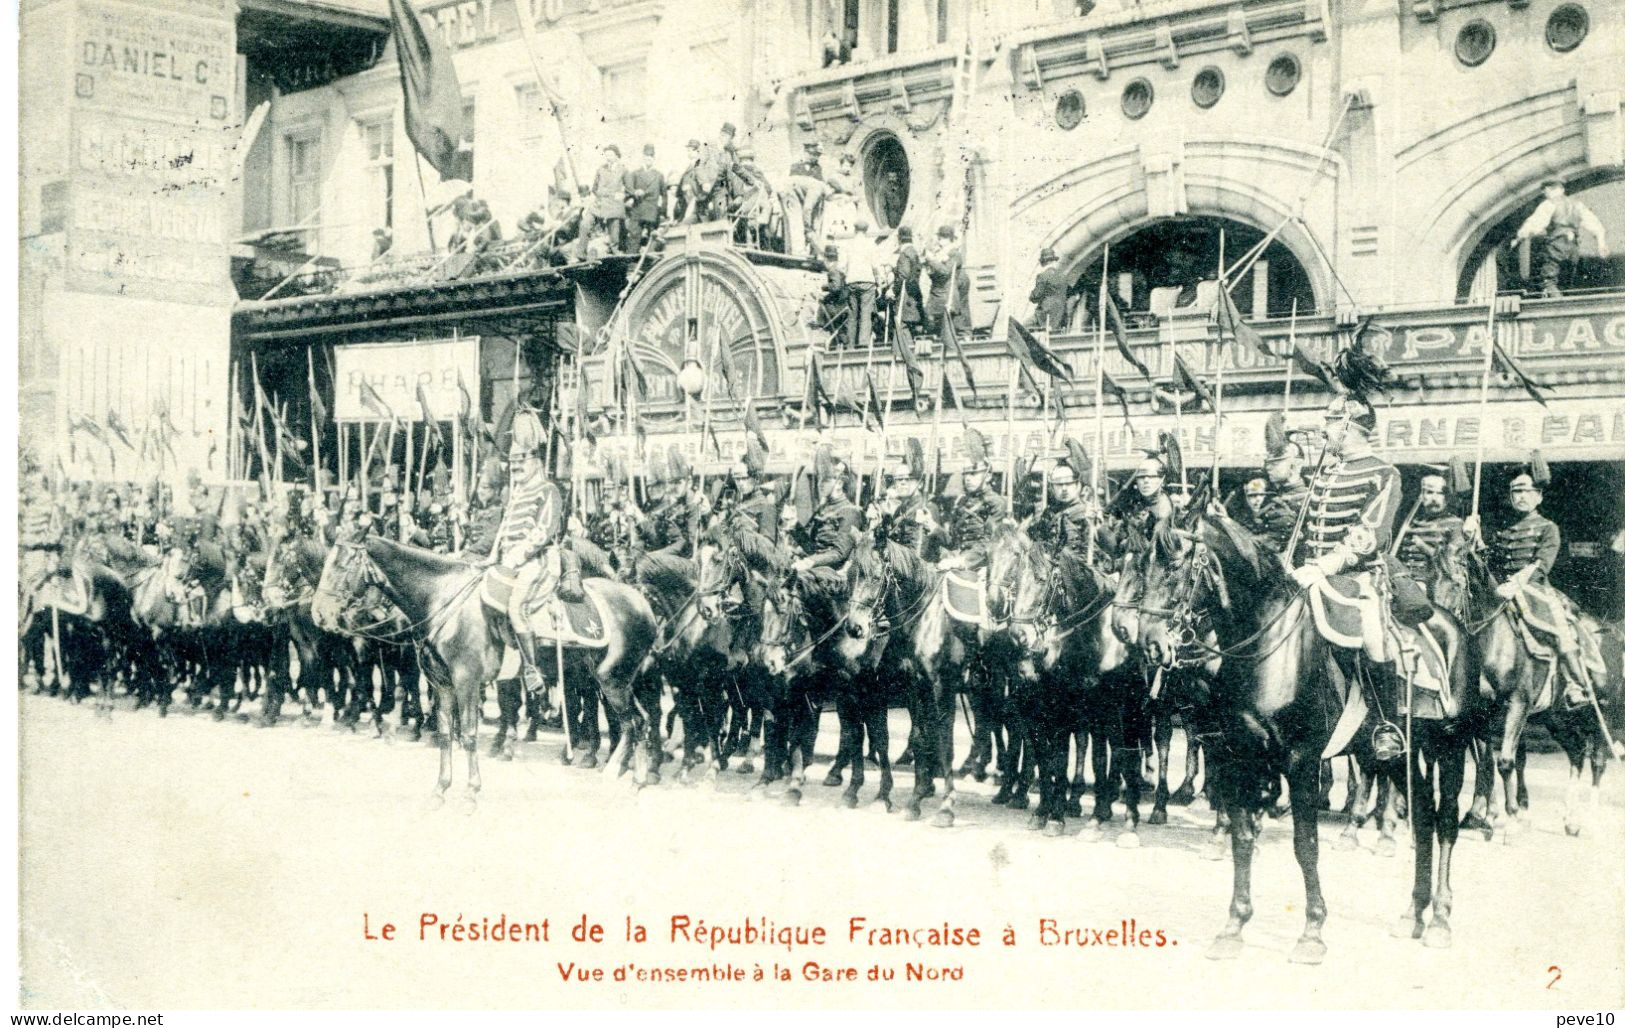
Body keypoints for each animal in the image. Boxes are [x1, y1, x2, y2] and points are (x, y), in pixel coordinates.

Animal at [313, 535, 656, 808]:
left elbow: (468, 735)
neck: (442, 599)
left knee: (635, 723)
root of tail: (641, 602)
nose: (318, 613)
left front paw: (470, 793)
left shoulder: (466, 681)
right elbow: (445, 735)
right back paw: (621, 777)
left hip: (613, 681)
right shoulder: (442, 685)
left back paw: (633, 781)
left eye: (340, 566)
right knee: (636, 723)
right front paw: (440, 789)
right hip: (609, 680)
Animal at [1131, 509, 1488, 961]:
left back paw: (1440, 918)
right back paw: (1413, 913)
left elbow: (1305, 845)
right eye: (1143, 567)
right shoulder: (1239, 756)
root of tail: (1454, 627)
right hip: (1396, 756)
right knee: (1423, 817)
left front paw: (1312, 932)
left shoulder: (1300, 761)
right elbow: (1242, 838)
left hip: (1450, 746)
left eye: (1176, 565)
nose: (1150, 645)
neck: (1268, 646)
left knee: (1445, 823)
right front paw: (1233, 927)